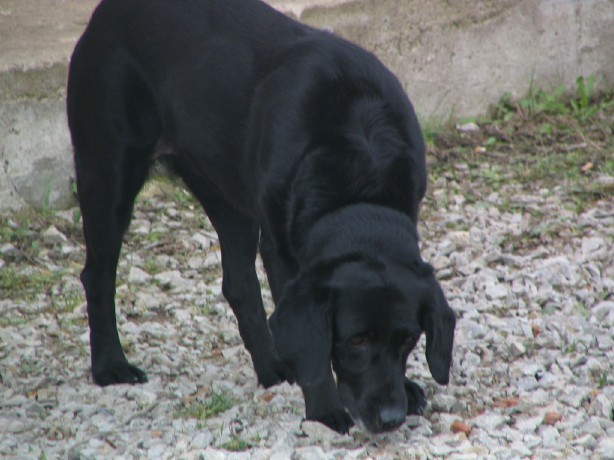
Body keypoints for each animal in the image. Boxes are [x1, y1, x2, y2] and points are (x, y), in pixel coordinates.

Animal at [67, 0, 454, 434]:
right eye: (356, 340)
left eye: (408, 340)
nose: (390, 418)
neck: (358, 184)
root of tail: (104, 12)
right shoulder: (280, 252)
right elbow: (313, 347)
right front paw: (324, 408)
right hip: (108, 174)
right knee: (97, 276)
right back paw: (109, 366)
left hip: (227, 196)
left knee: (238, 284)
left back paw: (270, 367)